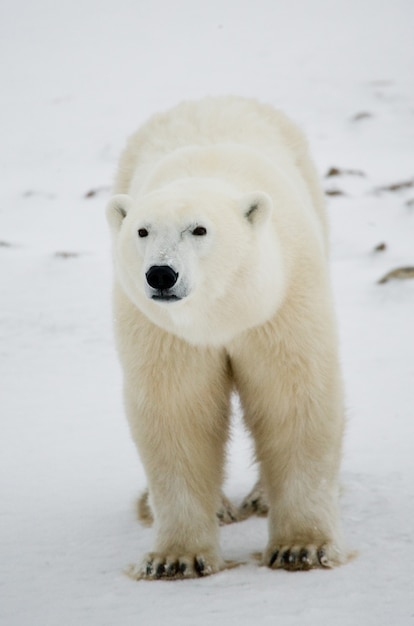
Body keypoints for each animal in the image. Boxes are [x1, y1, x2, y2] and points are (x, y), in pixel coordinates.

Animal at [106, 95, 346, 576]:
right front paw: (174, 558)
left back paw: (259, 498)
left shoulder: (279, 305)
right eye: (142, 230)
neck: (220, 316)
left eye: (199, 229)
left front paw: (301, 547)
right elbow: (177, 410)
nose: (161, 274)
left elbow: (294, 397)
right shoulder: (164, 333)